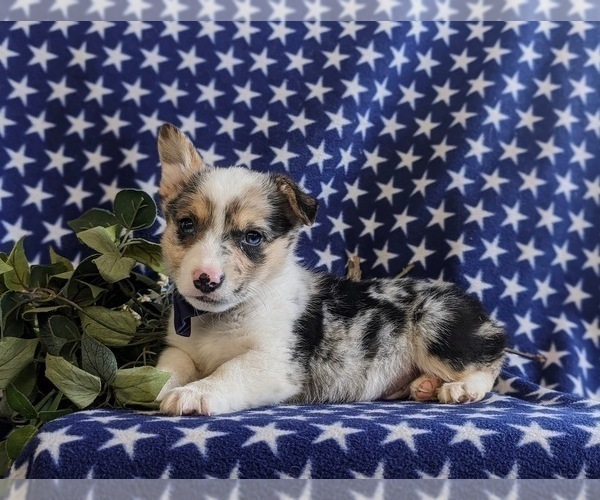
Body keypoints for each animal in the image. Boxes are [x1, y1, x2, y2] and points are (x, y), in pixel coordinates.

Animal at [154, 124, 506, 414]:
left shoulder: (274, 362)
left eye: (252, 237)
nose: (205, 280)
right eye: (186, 224)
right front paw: (150, 384)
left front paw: (195, 393)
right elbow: (167, 369)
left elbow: (230, 371)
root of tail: (481, 312)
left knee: (489, 365)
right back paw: (425, 385)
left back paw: (461, 388)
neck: (219, 317)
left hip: (437, 325)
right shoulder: (179, 350)